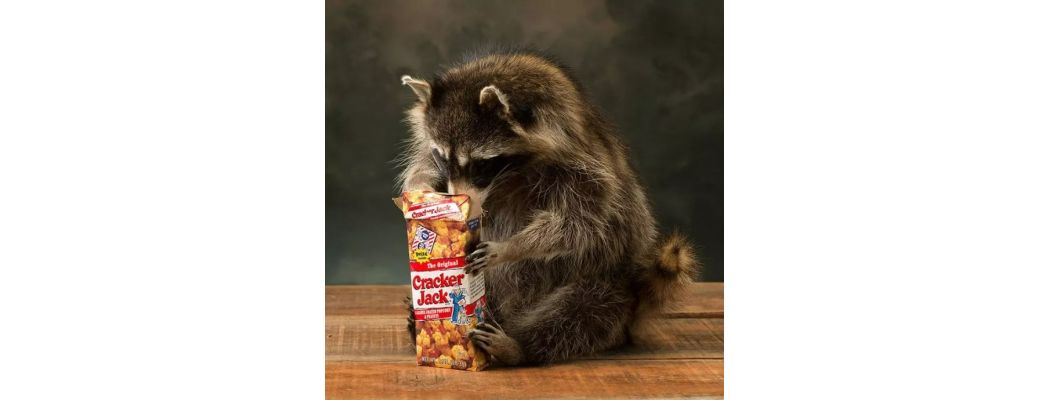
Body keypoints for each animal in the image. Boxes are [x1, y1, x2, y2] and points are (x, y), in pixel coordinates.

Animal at [397, 52, 696, 365]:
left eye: (481, 164)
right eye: (442, 157)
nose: (460, 204)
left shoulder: (583, 164)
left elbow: (578, 223)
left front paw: (511, 246)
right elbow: (420, 167)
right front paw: (422, 191)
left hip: (610, 282)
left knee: (582, 310)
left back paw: (521, 347)